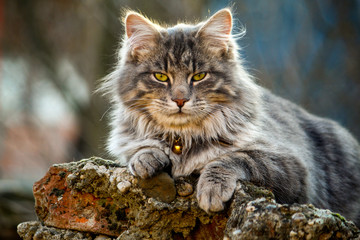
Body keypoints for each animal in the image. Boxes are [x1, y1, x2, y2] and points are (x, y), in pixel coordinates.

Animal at [100, 7, 360, 225]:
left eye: (199, 76)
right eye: (161, 77)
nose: (180, 100)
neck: (184, 140)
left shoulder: (291, 166)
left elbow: (231, 159)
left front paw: (211, 191)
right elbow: (142, 148)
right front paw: (146, 159)